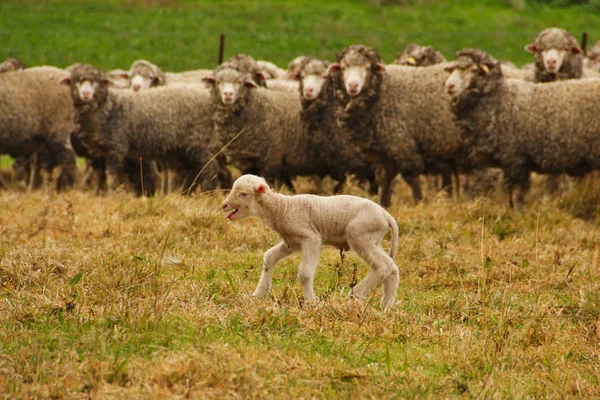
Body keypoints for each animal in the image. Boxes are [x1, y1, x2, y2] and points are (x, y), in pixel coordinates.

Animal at [61, 63, 219, 195]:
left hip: (199, 141)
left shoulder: (116, 147)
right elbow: (103, 176)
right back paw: (184, 193)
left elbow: (112, 178)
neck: (109, 107)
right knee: (194, 170)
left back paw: (207, 193)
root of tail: (206, 98)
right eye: (76, 81)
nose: (86, 94)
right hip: (183, 148)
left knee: (209, 168)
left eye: (97, 82)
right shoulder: (101, 153)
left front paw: (113, 196)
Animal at [220, 175, 398, 310]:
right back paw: (386, 306)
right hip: (372, 240)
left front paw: (311, 302)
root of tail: (387, 215)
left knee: (382, 266)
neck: (282, 208)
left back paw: (356, 295)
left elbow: (305, 274)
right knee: (392, 268)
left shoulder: (310, 238)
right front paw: (258, 294)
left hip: (360, 235)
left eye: (243, 194)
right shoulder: (291, 242)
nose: (223, 205)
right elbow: (269, 257)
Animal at [328, 45, 464, 208]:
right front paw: (382, 205)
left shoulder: (403, 146)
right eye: (343, 68)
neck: (382, 91)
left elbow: (412, 180)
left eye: (367, 67)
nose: (353, 85)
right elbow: (384, 182)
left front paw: (419, 203)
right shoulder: (383, 156)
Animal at [442, 48, 600, 208]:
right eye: (452, 69)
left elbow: (516, 195)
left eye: (473, 69)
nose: (449, 86)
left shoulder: (515, 159)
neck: (500, 99)